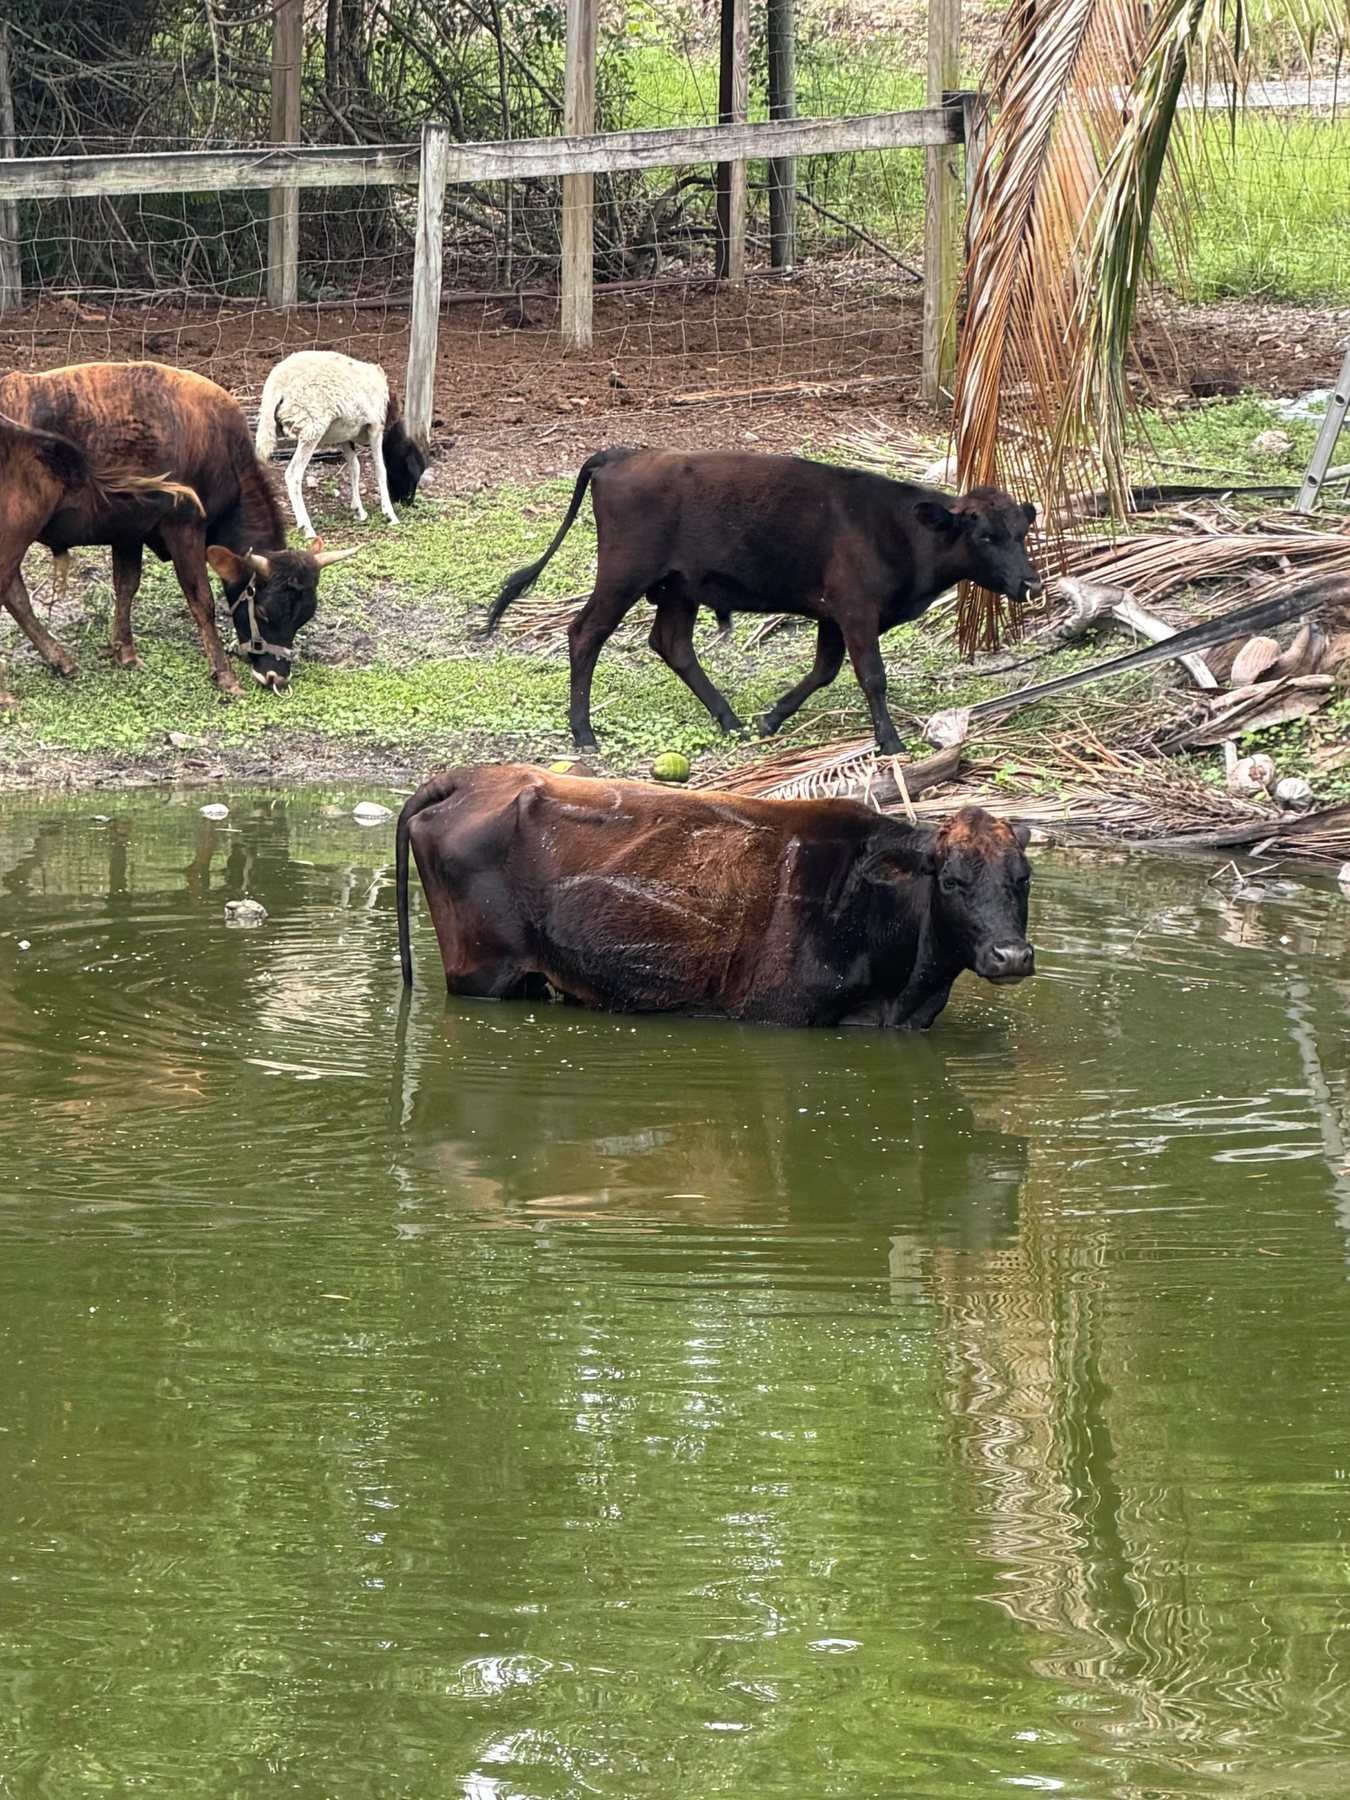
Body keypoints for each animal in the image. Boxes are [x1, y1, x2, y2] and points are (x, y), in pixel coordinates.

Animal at [0, 362, 356, 697]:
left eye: (304, 615)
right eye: (264, 612)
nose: (275, 676)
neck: (223, 449)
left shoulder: (129, 531)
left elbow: (126, 586)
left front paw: (125, 652)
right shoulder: (185, 528)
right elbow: (202, 600)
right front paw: (224, 674)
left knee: (15, 594)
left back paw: (60, 659)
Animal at [395, 763, 1035, 1030]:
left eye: (1022, 877)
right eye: (951, 880)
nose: (1011, 955)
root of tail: (471, 778)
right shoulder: (779, 1016)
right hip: (483, 974)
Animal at [485, 449, 1042, 756]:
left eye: (1021, 532)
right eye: (986, 536)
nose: (1031, 583)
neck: (897, 531)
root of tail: (621, 454)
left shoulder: (833, 615)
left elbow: (824, 671)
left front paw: (770, 719)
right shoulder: (856, 610)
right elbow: (872, 677)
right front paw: (890, 741)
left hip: (679, 587)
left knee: (672, 644)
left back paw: (729, 719)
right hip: (623, 577)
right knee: (586, 634)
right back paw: (583, 732)